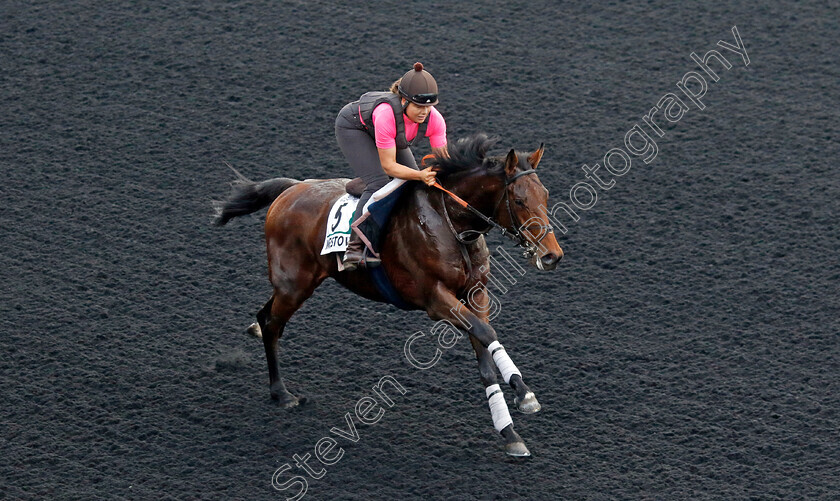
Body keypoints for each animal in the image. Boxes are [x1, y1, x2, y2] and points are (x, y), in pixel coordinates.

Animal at [213, 134, 560, 458]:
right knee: (272, 324)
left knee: (266, 318)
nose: (552, 255)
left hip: (294, 285)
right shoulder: (435, 299)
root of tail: (292, 189)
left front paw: (511, 431)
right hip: (295, 283)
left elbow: (485, 353)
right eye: (519, 201)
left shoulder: (476, 295)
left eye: (545, 195)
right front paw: (525, 394)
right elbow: (487, 333)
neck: (450, 223)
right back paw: (281, 393)